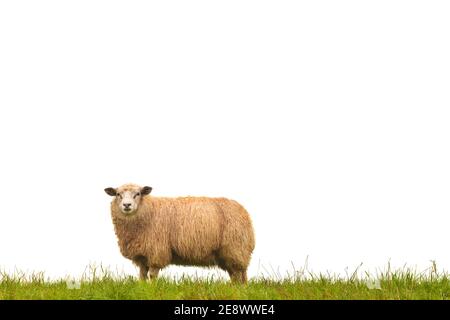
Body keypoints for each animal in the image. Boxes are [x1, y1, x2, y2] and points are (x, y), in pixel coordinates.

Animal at [103, 182, 255, 282]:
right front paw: (142, 288)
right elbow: (142, 276)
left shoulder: (157, 251)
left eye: (138, 194)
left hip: (235, 249)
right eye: (118, 194)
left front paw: (152, 289)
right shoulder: (142, 255)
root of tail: (244, 212)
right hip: (229, 254)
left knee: (238, 274)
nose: (126, 205)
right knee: (238, 275)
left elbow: (152, 275)